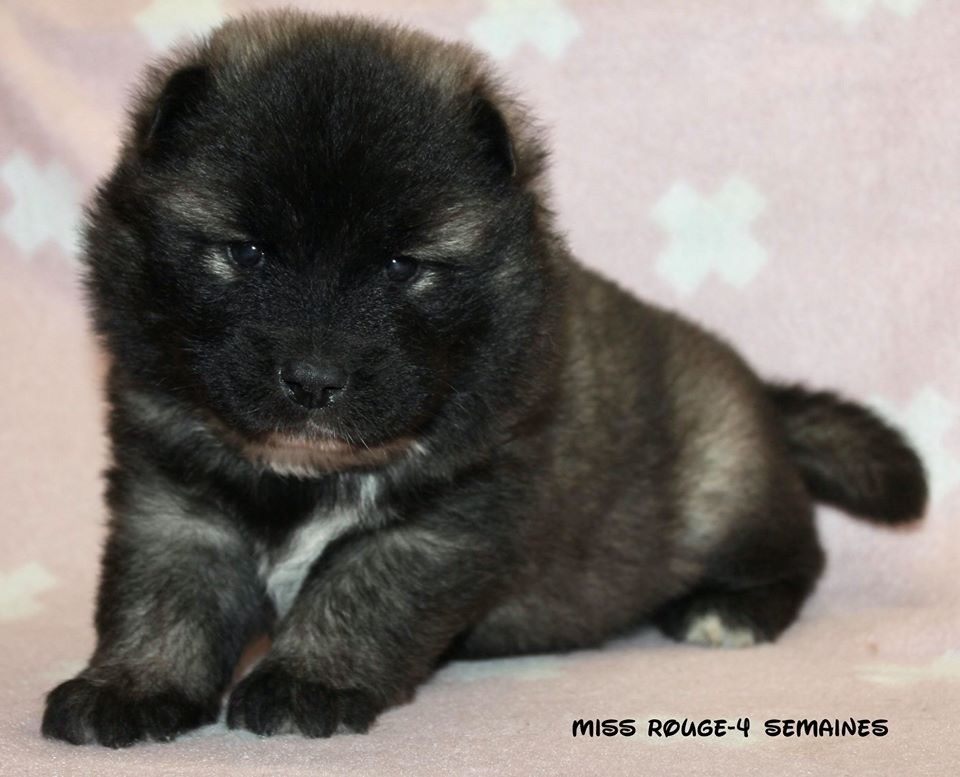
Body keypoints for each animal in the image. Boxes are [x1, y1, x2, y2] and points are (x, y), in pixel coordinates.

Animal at [41, 11, 927, 747]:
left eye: (404, 266)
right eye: (244, 251)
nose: (314, 380)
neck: (308, 468)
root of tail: (766, 400)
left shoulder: (445, 520)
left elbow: (355, 587)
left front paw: (303, 679)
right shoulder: (172, 497)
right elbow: (161, 594)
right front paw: (129, 684)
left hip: (727, 486)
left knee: (801, 554)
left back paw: (726, 609)